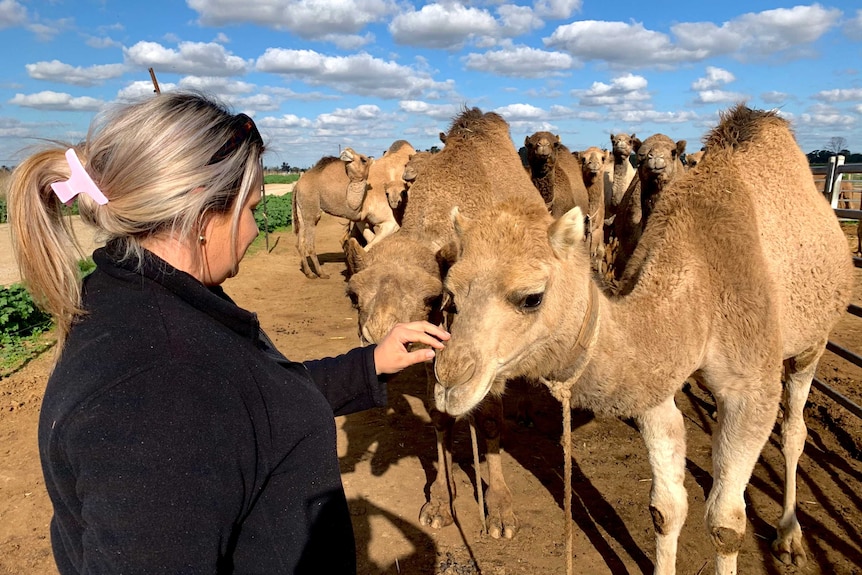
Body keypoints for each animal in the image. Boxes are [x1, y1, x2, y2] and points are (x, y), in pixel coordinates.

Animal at [294, 148, 372, 280]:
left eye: (363, 159)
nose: (347, 150)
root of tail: (297, 185)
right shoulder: (354, 213)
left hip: (302, 212)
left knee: (300, 243)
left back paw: (309, 273)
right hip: (311, 211)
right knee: (309, 244)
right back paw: (321, 273)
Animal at [344, 107, 548, 540]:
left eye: (432, 297)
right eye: (354, 295)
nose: (381, 338)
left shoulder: (490, 345)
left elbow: (489, 419)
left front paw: (499, 510)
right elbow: (439, 414)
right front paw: (440, 500)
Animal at [432, 103, 856, 575]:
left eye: (531, 297)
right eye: (451, 292)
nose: (449, 382)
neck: (699, 287)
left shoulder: (751, 390)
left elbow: (726, 524)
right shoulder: (656, 386)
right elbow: (665, 509)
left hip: (812, 343)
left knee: (795, 430)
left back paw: (789, 536)